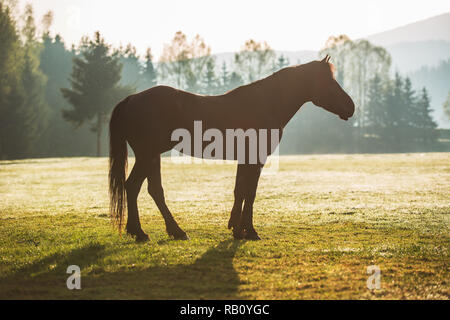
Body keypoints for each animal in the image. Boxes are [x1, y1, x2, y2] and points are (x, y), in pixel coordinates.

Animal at [108, 55, 356, 241]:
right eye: (329, 81)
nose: (351, 107)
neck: (265, 103)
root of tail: (131, 99)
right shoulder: (256, 159)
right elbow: (250, 192)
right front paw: (250, 231)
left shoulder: (245, 159)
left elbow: (240, 191)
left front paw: (237, 229)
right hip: (147, 155)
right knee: (136, 187)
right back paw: (145, 232)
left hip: (151, 156)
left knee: (148, 189)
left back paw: (163, 231)